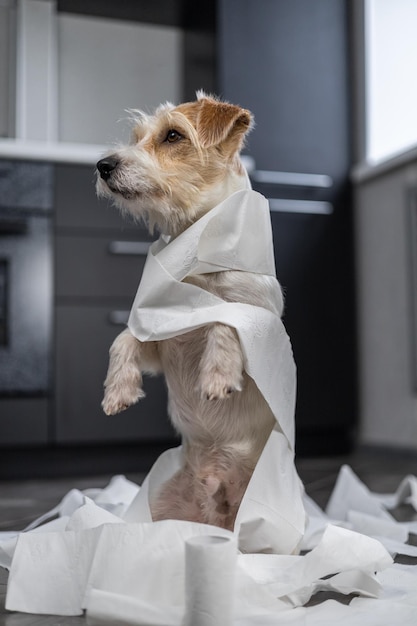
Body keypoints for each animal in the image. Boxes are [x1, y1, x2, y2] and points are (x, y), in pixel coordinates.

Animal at [95, 92, 282, 528]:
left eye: (173, 135)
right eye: (137, 137)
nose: (103, 165)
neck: (195, 258)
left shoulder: (262, 329)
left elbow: (224, 320)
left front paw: (217, 376)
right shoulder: (159, 342)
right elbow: (124, 337)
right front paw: (118, 390)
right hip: (165, 505)